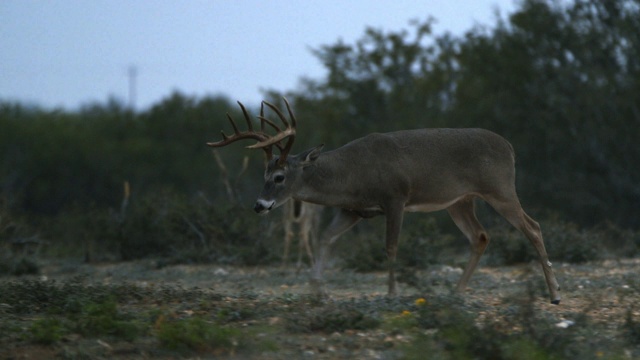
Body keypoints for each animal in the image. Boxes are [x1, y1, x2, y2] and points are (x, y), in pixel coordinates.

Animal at [206, 97, 560, 304]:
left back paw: (554, 294)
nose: (259, 205)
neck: (353, 174)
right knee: (481, 236)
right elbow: (326, 238)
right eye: (263, 173)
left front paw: (391, 293)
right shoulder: (353, 210)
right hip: (460, 201)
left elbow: (391, 247)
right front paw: (317, 288)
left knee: (533, 227)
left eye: (279, 177)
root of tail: (510, 148)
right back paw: (456, 293)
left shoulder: (395, 197)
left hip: (500, 189)